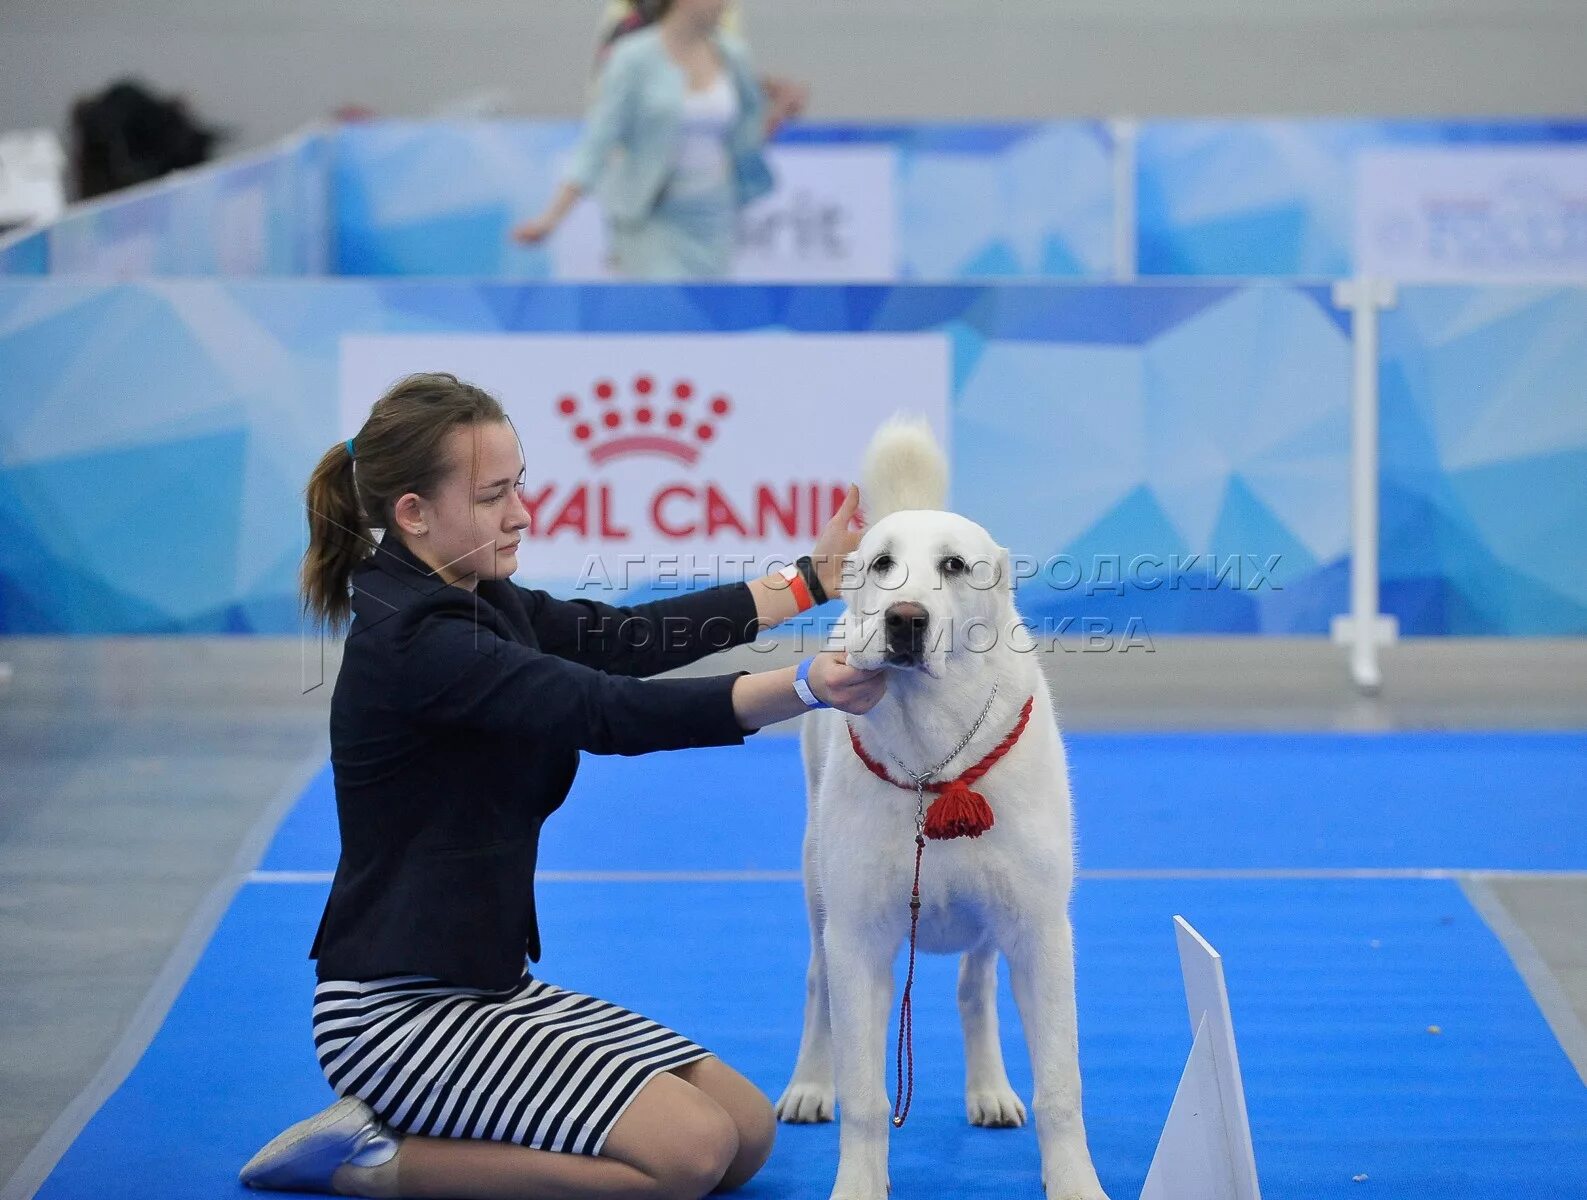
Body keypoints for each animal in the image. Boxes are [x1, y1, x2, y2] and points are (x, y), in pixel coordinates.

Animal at [777, 415, 1104, 1200]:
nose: (904, 619)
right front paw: (858, 1186)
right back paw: (809, 1084)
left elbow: (1060, 1088)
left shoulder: (1040, 933)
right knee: (816, 985)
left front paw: (1075, 1184)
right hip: (817, 889)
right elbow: (866, 1098)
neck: (935, 750)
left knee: (973, 987)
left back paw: (989, 1091)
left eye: (953, 566)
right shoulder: (860, 938)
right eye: (880, 565)